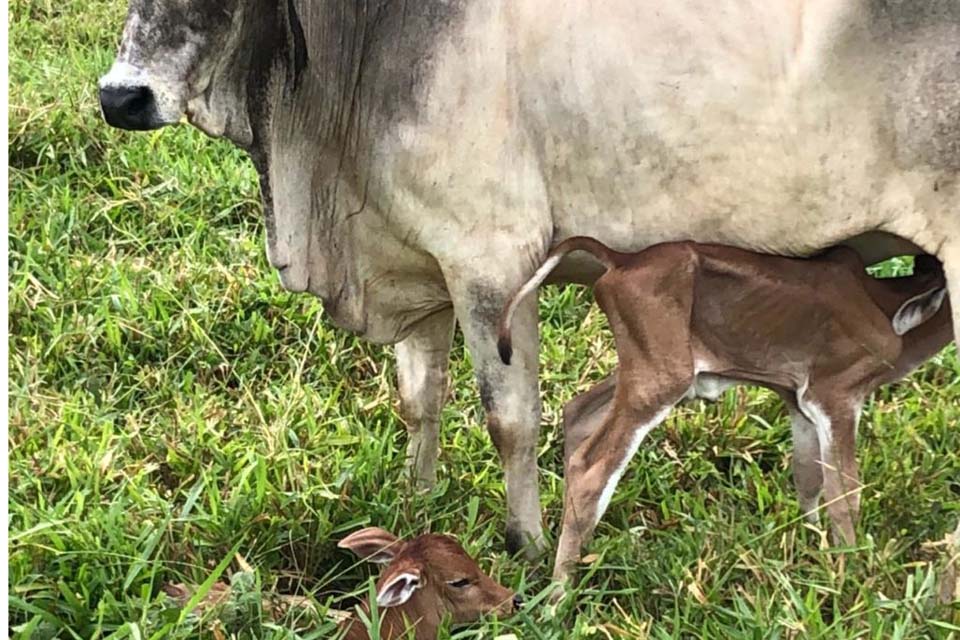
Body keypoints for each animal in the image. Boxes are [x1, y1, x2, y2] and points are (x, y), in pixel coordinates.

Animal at [98, 0, 960, 559]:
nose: (121, 96)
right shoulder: (423, 266)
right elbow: (420, 400)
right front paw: (417, 502)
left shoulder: (491, 263)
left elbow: (509, 418)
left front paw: (526, 540)